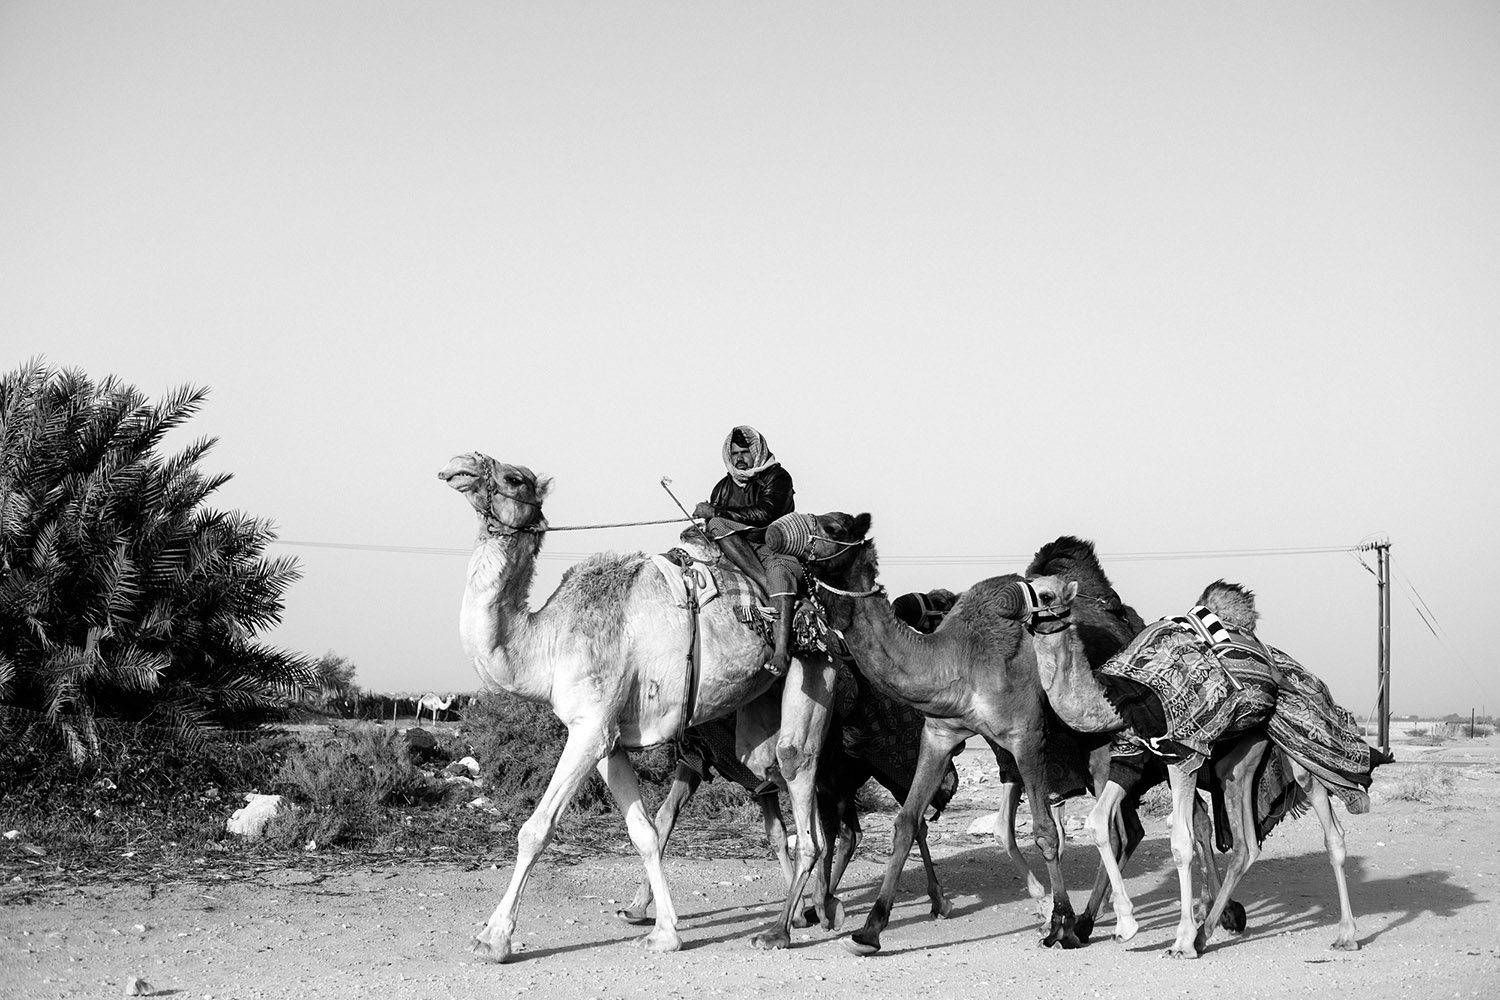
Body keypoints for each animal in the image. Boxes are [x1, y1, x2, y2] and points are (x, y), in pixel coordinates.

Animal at [438, 455, 846, 959]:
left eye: (514, 478)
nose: (458, 466)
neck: (548, 640)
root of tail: (820, 614)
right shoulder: (608, 738)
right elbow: (645, 832)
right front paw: (665, 931)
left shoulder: (590, 728)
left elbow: (536, 829)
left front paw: (493, 938)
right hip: (762, 707)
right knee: (777, 779)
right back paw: (819, 911)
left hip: (814, 671)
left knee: (797, 774)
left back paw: (783, 929)